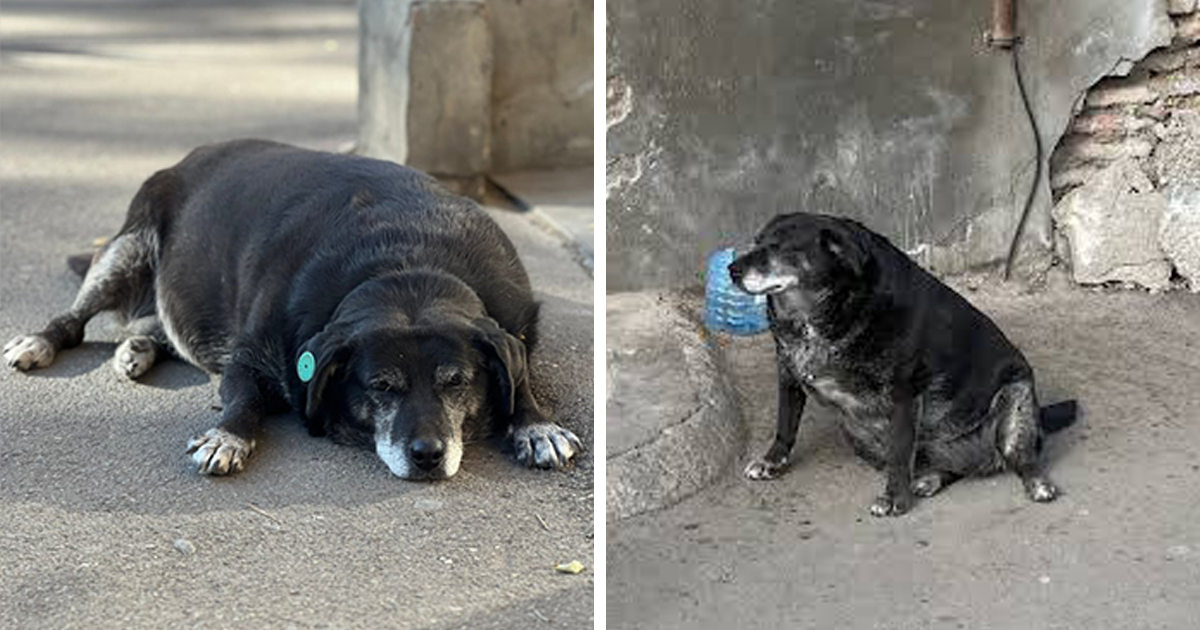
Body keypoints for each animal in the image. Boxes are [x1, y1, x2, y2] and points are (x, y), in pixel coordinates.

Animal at [0, 139, 580, 480]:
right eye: (380, 387)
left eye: (456, 382)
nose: (428, 455)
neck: (407, 262)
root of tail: (189, 157)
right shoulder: (247, 356)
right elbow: (243, 400)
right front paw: (228, 435)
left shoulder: (511, 329)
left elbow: (519, 373)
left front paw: (535, 424)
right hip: (126, 249)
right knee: (76, 320)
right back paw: (43, 341)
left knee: (163, 326)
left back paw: (139, 346)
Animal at [729, 211, 1080, 516]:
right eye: (756, 242)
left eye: (778, 247)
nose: (732, 270)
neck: (817, 314)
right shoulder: (787, 372)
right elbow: (785, 425)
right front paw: (772, 462)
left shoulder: (903, 393)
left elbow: (899, 453)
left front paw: (895, 498)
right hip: (857, 432)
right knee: (950, 468)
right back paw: (931, 479)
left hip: (1016, 400)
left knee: (1020, 457)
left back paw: (1037, 483)